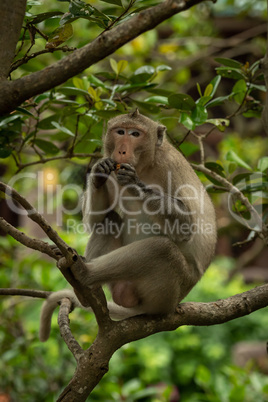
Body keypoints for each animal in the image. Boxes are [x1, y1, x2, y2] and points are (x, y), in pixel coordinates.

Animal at [39, 108, 216, 340]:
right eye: (120, 131)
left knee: (161, 249)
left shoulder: (170, 166)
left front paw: (135, 184)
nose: (122, 151)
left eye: (135, 134)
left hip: (167, 292)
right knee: (109, 220)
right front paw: (98, 174)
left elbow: (186, 226)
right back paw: (85, 289)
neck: (146, 165)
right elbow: (95, 220)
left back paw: (85, 274)